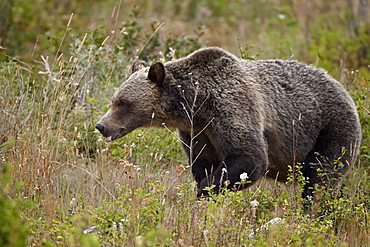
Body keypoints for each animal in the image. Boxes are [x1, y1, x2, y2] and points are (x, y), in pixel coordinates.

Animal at [95, 47, 362, 200]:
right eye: (114, 99)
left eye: (123, 102)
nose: (101, 125)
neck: (197, 103)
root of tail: (345, 90)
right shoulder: (198, 131)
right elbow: (203, 164)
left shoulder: (232, 106)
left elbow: (249, 158)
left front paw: (203, 193)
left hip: (329, 129)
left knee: (321, 178)